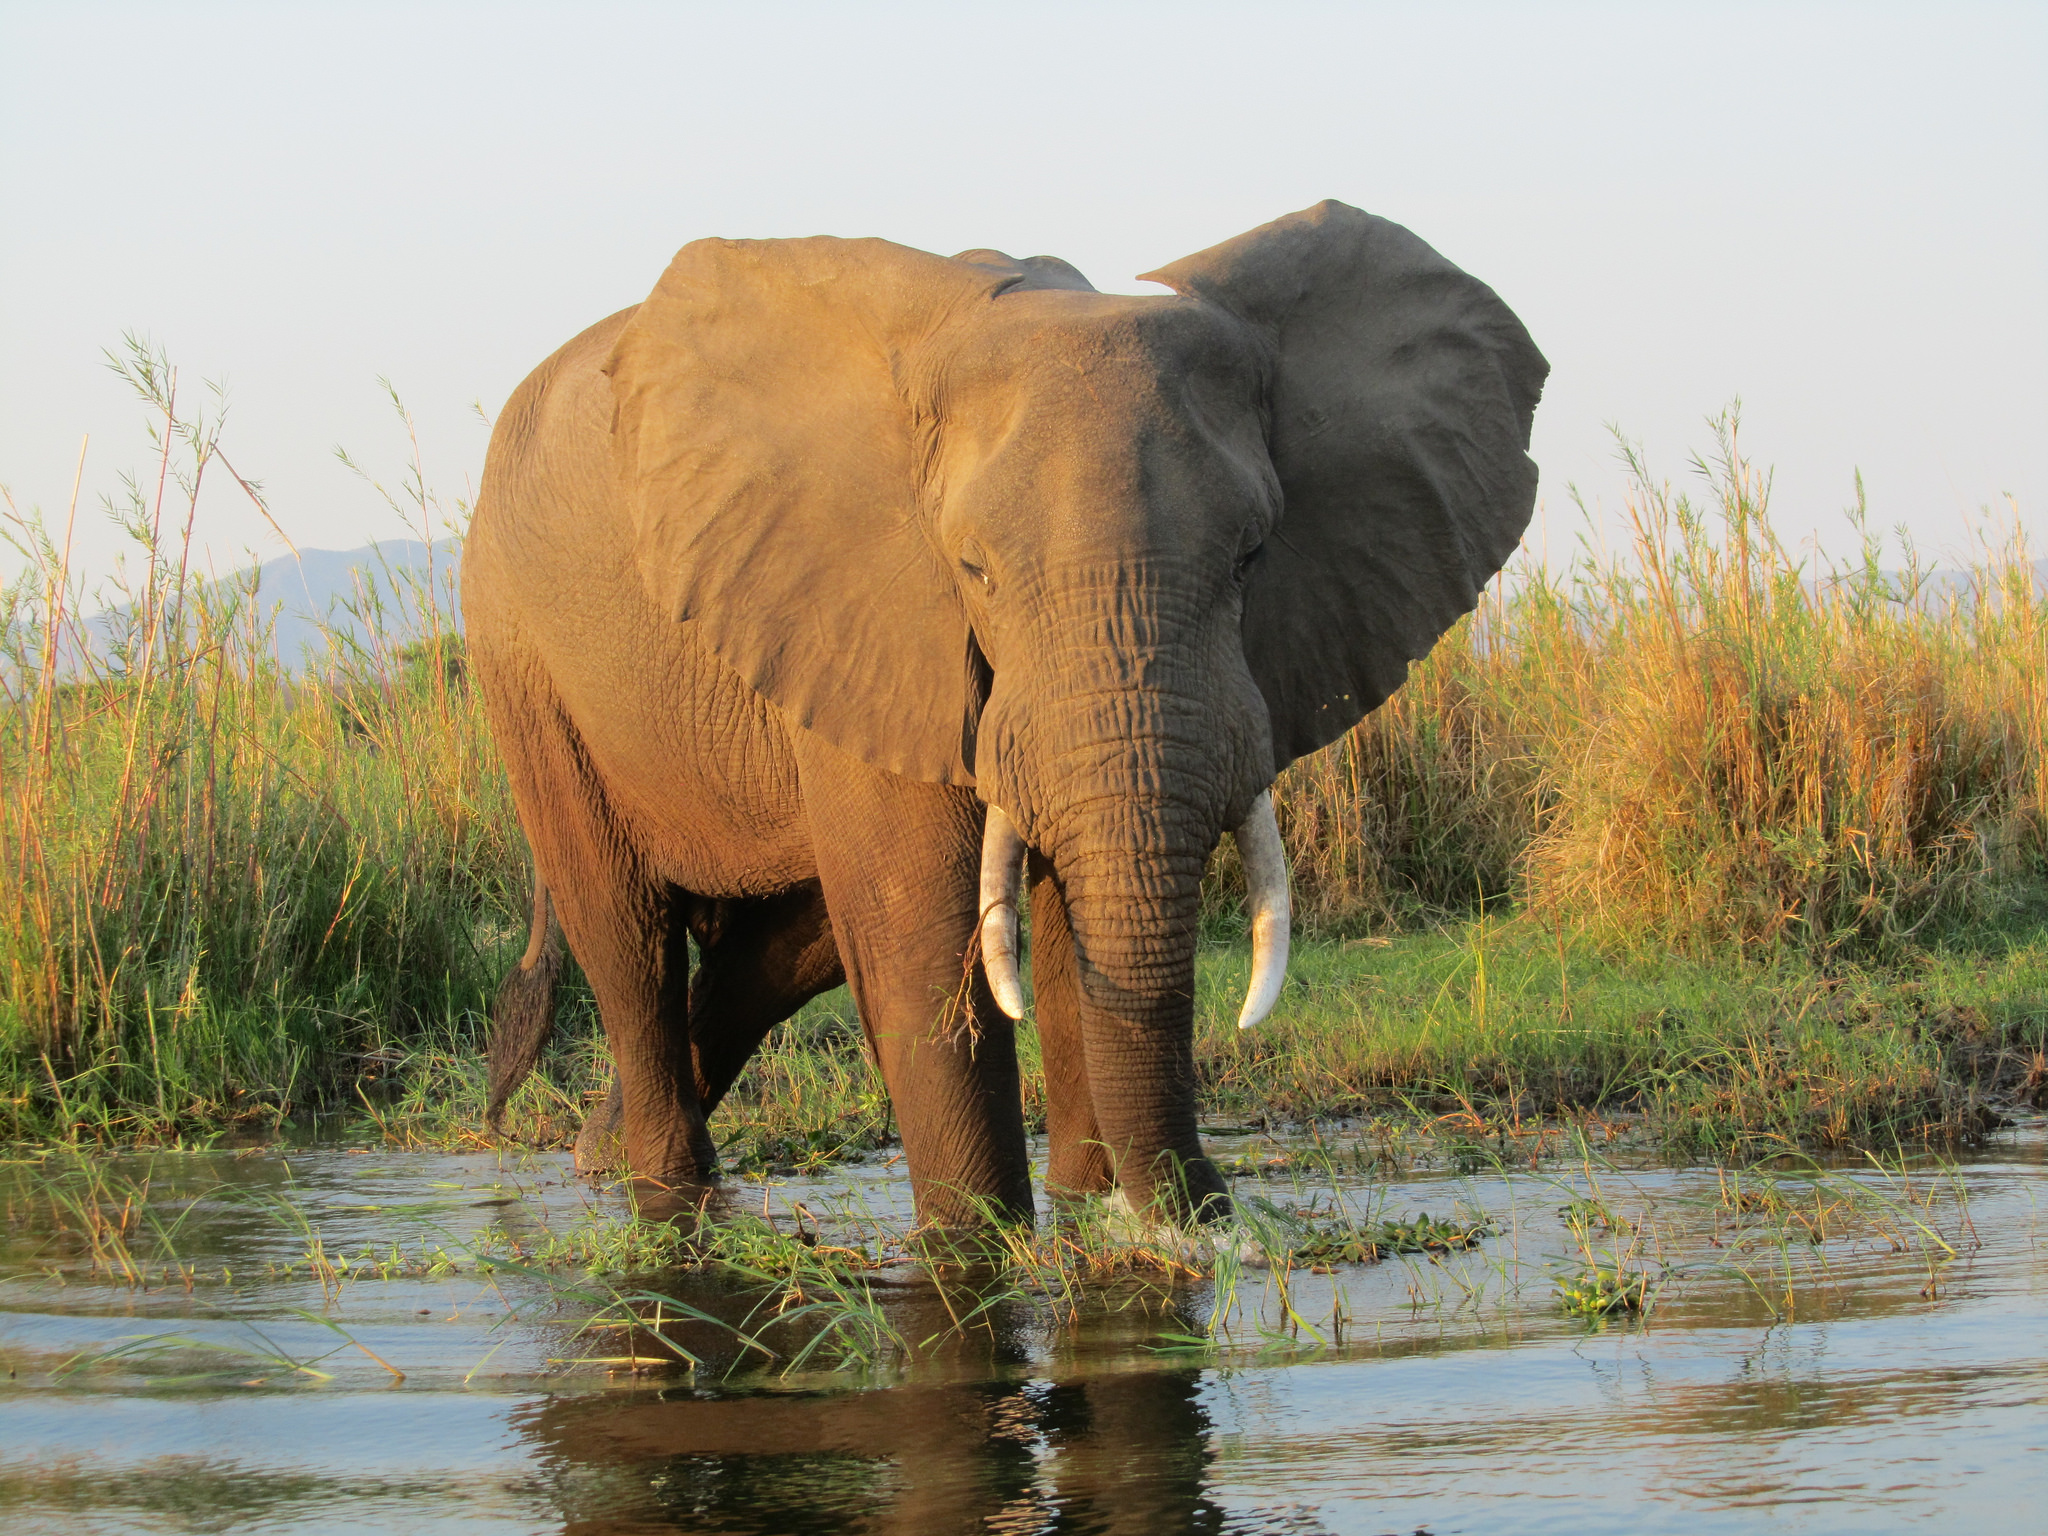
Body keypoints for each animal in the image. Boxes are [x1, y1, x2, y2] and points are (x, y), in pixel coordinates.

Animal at [464, 201, 1540, 1236]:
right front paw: (979, 1240)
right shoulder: (873, 611)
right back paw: (657, 1189)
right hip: (523, 664)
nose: (1207, 1210)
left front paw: (1094, 1214)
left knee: (776, 949)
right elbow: (923, 943)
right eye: (973, 569)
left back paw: (596, 1156)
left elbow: (1065, 940)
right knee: (626, 938)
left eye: (1251, 557)